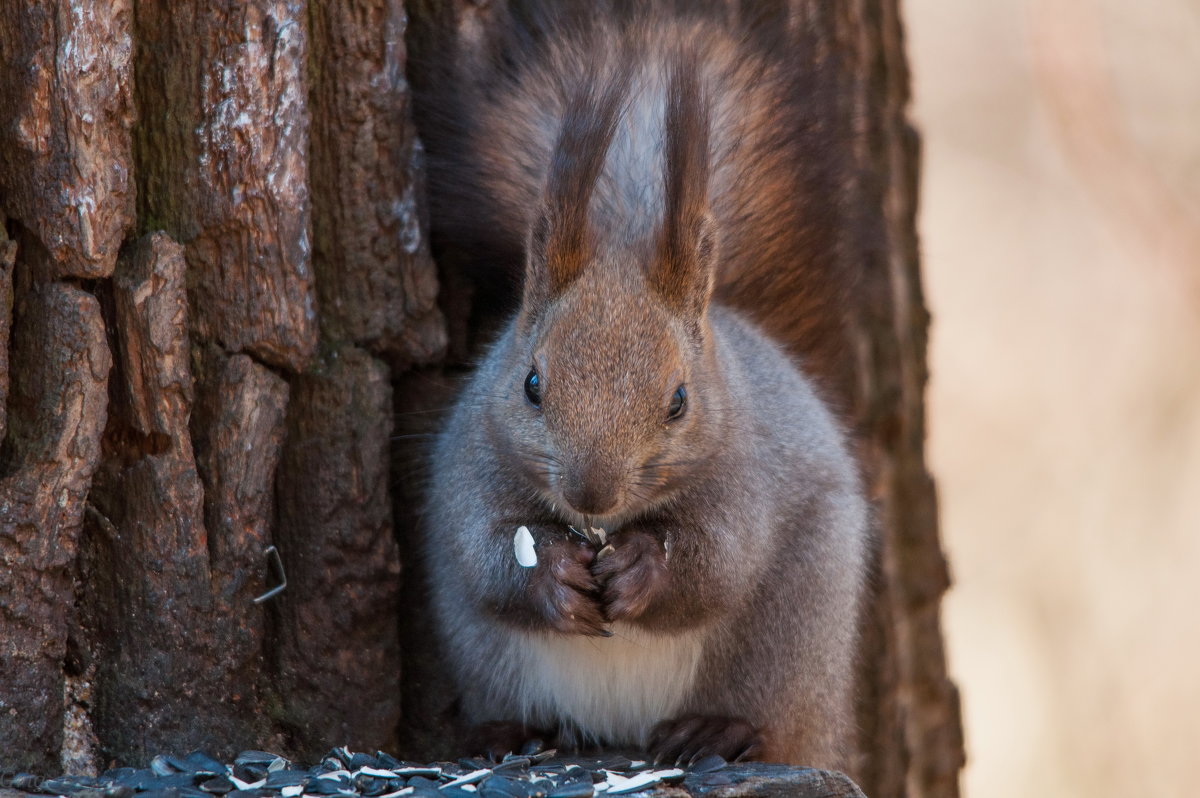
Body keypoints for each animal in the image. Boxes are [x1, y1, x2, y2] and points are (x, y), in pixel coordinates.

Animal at [417, 3, 868, 768]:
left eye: (679, 401)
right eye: (531, 383)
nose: (589, 493)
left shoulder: (747, 477)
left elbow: (719, 562)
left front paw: (642, 571)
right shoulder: (470, 466)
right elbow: (486, 551)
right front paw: (551, 576)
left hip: (796, 630)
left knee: (776, 718)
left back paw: (721, 730)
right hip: (485, 654)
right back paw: (511, 733)